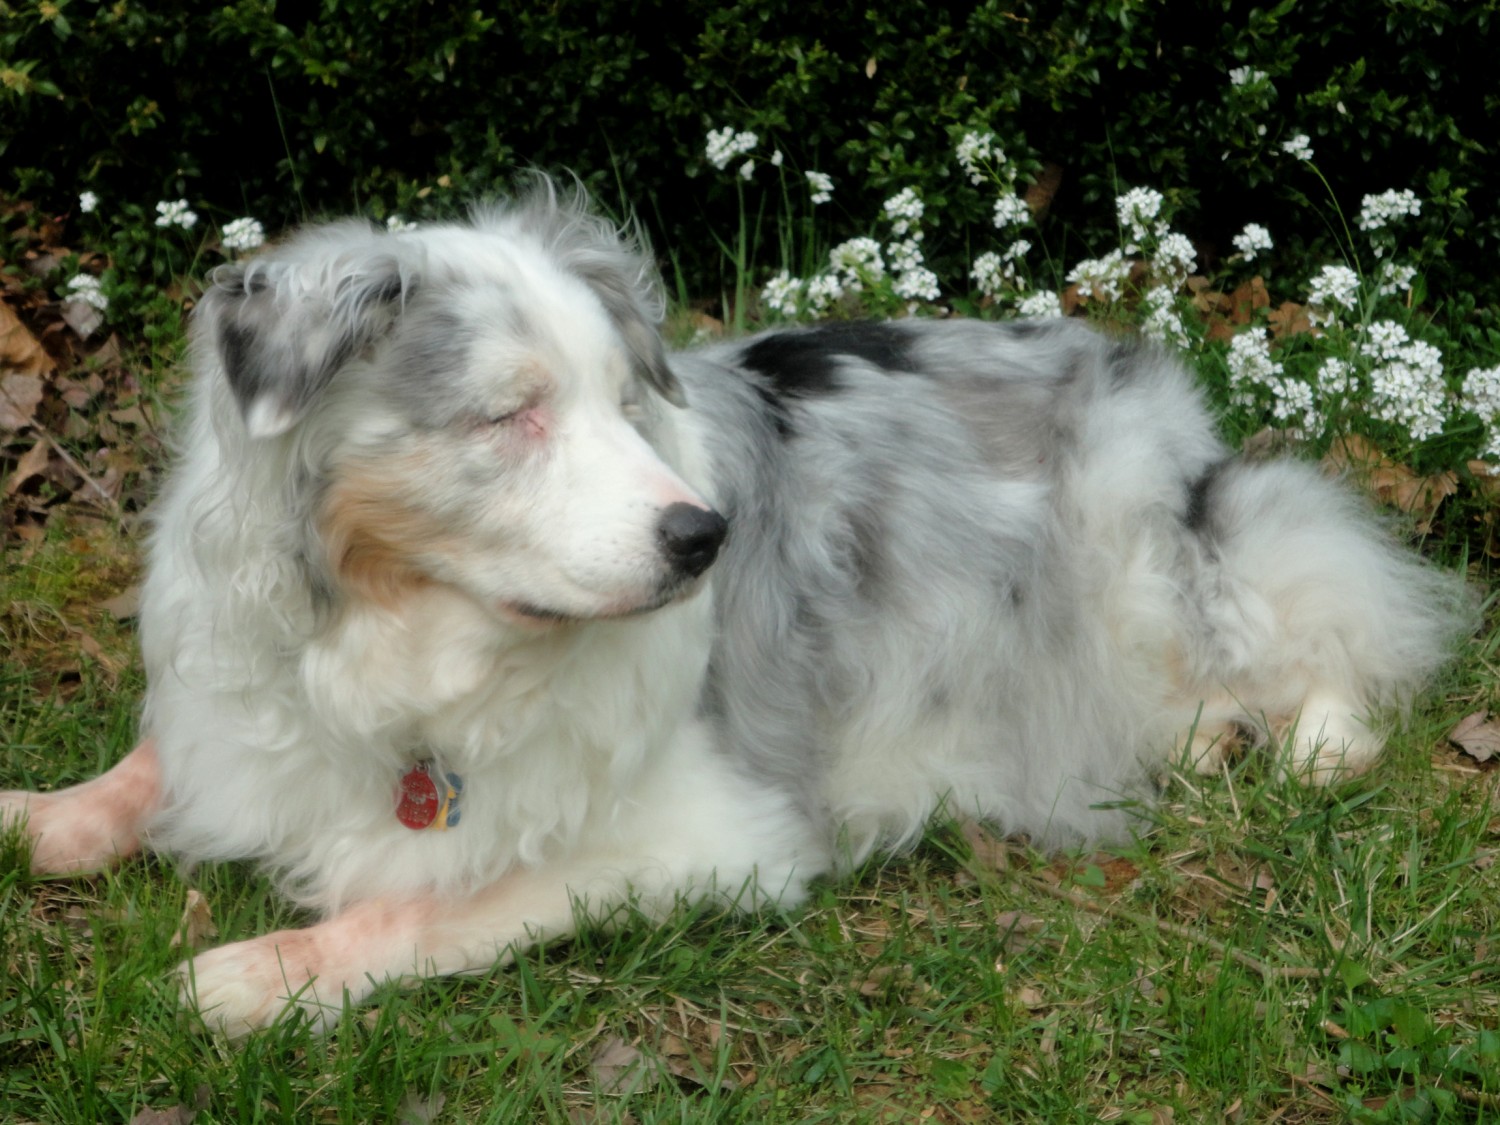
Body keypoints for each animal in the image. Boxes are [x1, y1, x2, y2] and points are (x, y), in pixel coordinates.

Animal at [0, 180, 1464, 1038]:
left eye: (619, 397)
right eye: (511, 414)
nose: (705, 538)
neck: (401, 637)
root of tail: (1118, 356)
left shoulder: (707, 834)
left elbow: (440, 904)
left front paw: (260, 972)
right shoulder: (241, 701)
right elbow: (150, 765)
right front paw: (49, 813)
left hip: (1145, 576)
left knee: (1321, 607)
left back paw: (1307, 741)